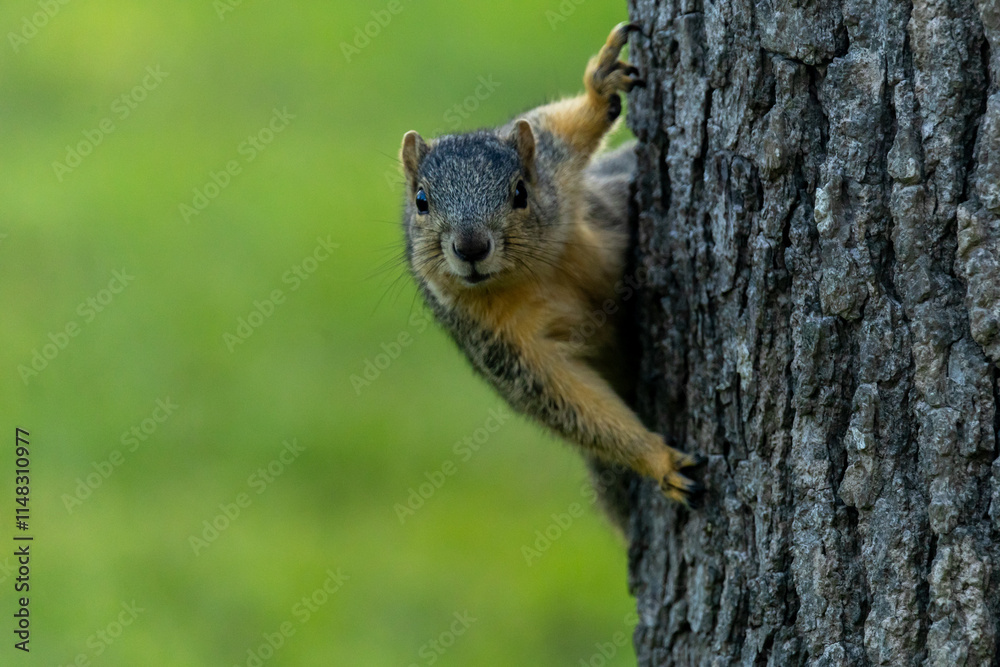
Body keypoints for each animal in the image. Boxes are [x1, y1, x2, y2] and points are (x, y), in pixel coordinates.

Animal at [399, 23, 701, 527]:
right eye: (420, 201)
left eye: (521, 192)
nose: (471, 248)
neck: (537, 272)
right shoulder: (504, 345)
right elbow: (568, 400)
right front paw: (658, 459)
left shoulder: (554, 171)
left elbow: (561, 127)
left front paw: (602, 85)